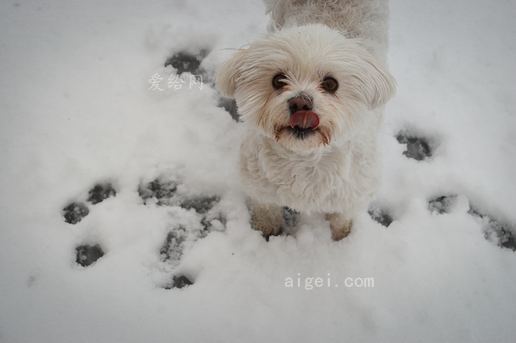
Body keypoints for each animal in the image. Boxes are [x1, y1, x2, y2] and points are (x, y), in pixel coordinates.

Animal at [217, 0, 396, 242]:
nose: (300, 103)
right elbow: (266, 210)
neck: (304, 157)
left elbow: (341, 219)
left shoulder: (353, 192)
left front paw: (341, 239)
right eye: (278, 80)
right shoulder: (260, 185)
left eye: (331, 83)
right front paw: (266, 229)